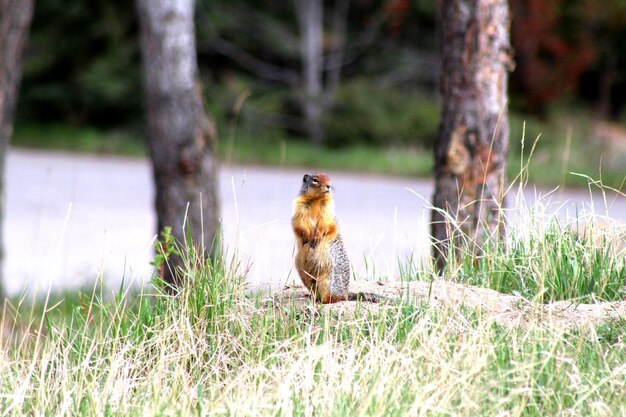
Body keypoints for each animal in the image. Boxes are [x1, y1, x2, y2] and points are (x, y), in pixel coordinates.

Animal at [292, 172, 382, 302]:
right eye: (315, 179)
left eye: (329, 178)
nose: (329, 185)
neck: (316, 199)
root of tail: (346, 294)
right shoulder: (299, 206)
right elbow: (300, 223)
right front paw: (308, 236)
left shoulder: (328, 210)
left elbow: (326, 224)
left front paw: (317, 237)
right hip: (308, 278)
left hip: (327, 282)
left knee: (333, 298)